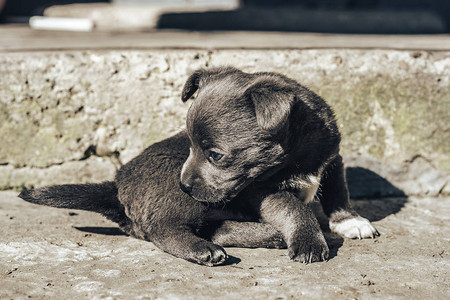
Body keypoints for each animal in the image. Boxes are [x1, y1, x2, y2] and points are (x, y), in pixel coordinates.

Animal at [19, 67, 378, 266]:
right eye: (190, 145)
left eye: (216, 155)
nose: (185, 184)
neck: (298, 155)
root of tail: (116, 186)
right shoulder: (263, 190)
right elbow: (294, 208)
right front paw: (309, 240)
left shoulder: (331, 158)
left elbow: (338, 192)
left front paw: (350, 221)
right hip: (180, 201)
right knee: (163, 229)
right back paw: (204, 249)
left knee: (215, 226)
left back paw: (265, 234)